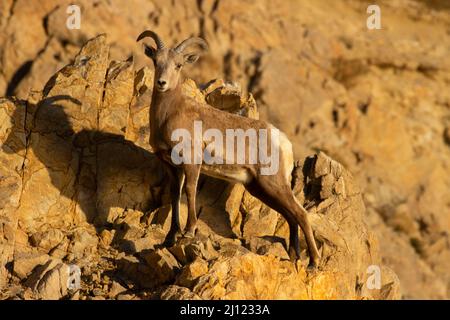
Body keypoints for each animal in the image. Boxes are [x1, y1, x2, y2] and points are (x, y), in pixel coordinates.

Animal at [136, 30, 320, 266]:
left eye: (178, 65)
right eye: (156, 61)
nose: (162, 83)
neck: (169, 113)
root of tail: (283, 141)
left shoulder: (191, 163)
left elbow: (189, 192)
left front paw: (189, 231)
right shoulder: (172, 166)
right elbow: (175, 195)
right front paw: (170, 237)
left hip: (273, 184)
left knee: (301, 214)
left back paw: (314, 262)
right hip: (260, 188)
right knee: (291, 216)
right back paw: (294, 257)